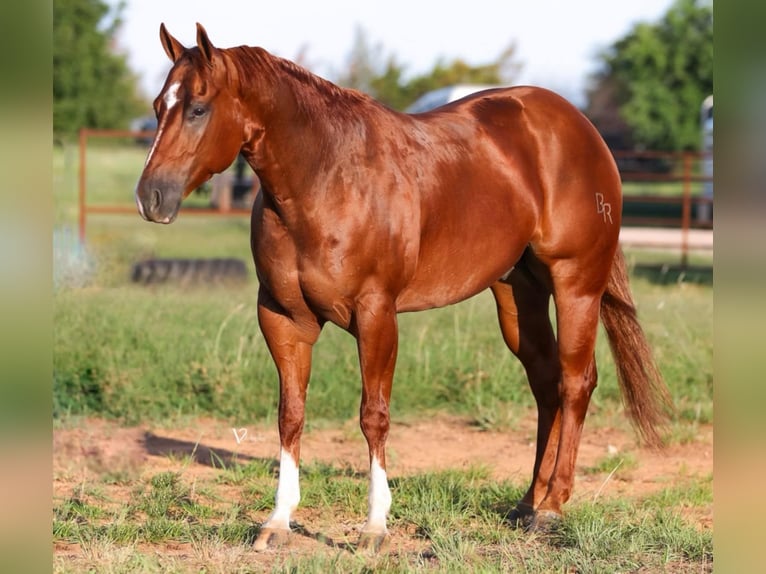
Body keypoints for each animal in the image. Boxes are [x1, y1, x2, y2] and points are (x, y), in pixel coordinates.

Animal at [136, 23, 672, 552]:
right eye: (159, 107)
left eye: (198, 108)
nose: (150, 197)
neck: (325, 177)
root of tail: (582, 128)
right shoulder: (283, 318)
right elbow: (290, 415)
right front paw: (278, 521)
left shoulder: (376, 313)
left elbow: (374, 415)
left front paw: (375, 527)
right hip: (518, 293)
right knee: (546, 384)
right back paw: (528, 503)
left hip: (576, 282)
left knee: (575, 381)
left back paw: (553, 507)